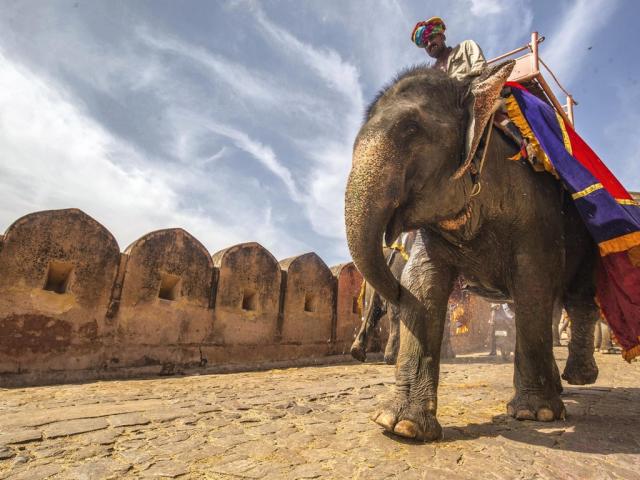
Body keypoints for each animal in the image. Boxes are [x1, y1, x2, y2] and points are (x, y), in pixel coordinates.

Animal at [344, 62, 600, 442]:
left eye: (411, 129)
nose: (393, 289)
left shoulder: (536, 210)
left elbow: (533, 282)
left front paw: (535, 414)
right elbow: (422, 284)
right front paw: (401, 426)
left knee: (576, 299)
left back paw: (578, 378)